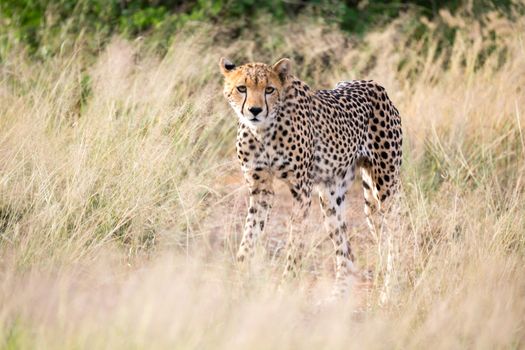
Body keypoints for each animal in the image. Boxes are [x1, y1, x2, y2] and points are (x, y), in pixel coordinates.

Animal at [217, 56, 402, 298]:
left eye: (269, 89)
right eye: (242, 88)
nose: (255, 110)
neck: (264, 130)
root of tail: (373, 84)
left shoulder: (301, 190)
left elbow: (295, 241)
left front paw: (286, 285)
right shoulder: (260, 188)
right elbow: (249, 234)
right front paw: (238, 277)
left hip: (384, 188)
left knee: (395, 236)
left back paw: (389, 292)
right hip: (333, 197)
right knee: (347, 253)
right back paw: (337, 297)